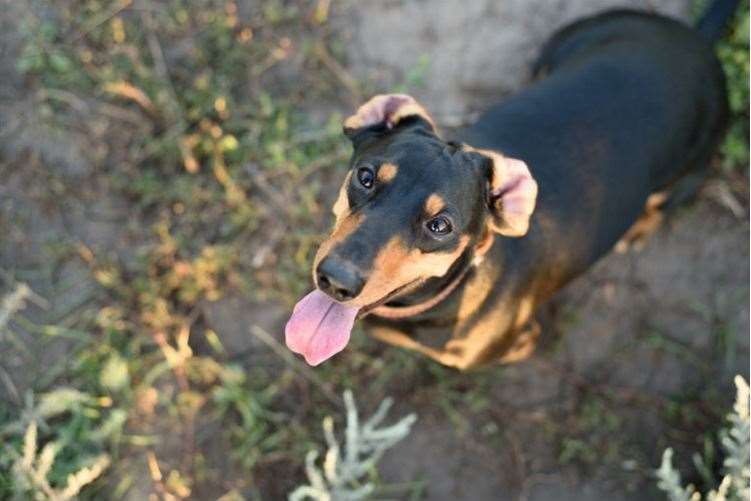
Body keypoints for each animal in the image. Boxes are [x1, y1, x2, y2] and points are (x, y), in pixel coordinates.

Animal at [284, 0, 736, 368]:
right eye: (365, 177)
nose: (334, 280)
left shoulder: (519, 341)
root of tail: (697, 40)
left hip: (691, 169)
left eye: (440, 226)